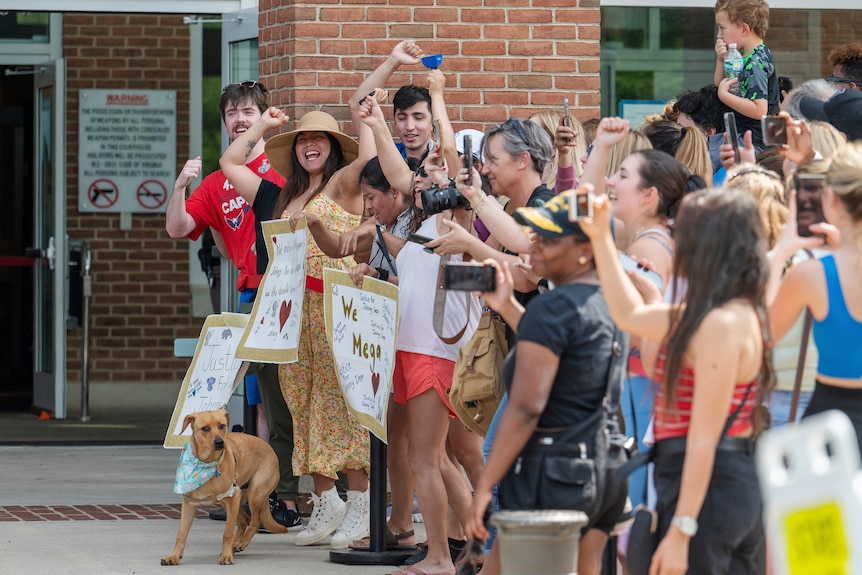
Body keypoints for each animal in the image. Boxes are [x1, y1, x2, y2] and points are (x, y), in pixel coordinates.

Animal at [159, 410, 286, 568]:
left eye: (221, 426)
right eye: (205, 428)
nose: (220, 442)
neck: (205, 463)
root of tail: (269, 446)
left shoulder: (233, 496)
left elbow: (227, 532)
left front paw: (226, 556)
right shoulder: (189, 504)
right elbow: (181, 534)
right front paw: (174, 556)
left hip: (254, 494)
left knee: (255, 521)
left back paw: (241, 543)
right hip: (229, 503)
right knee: (244, 520)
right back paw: (234, 545)